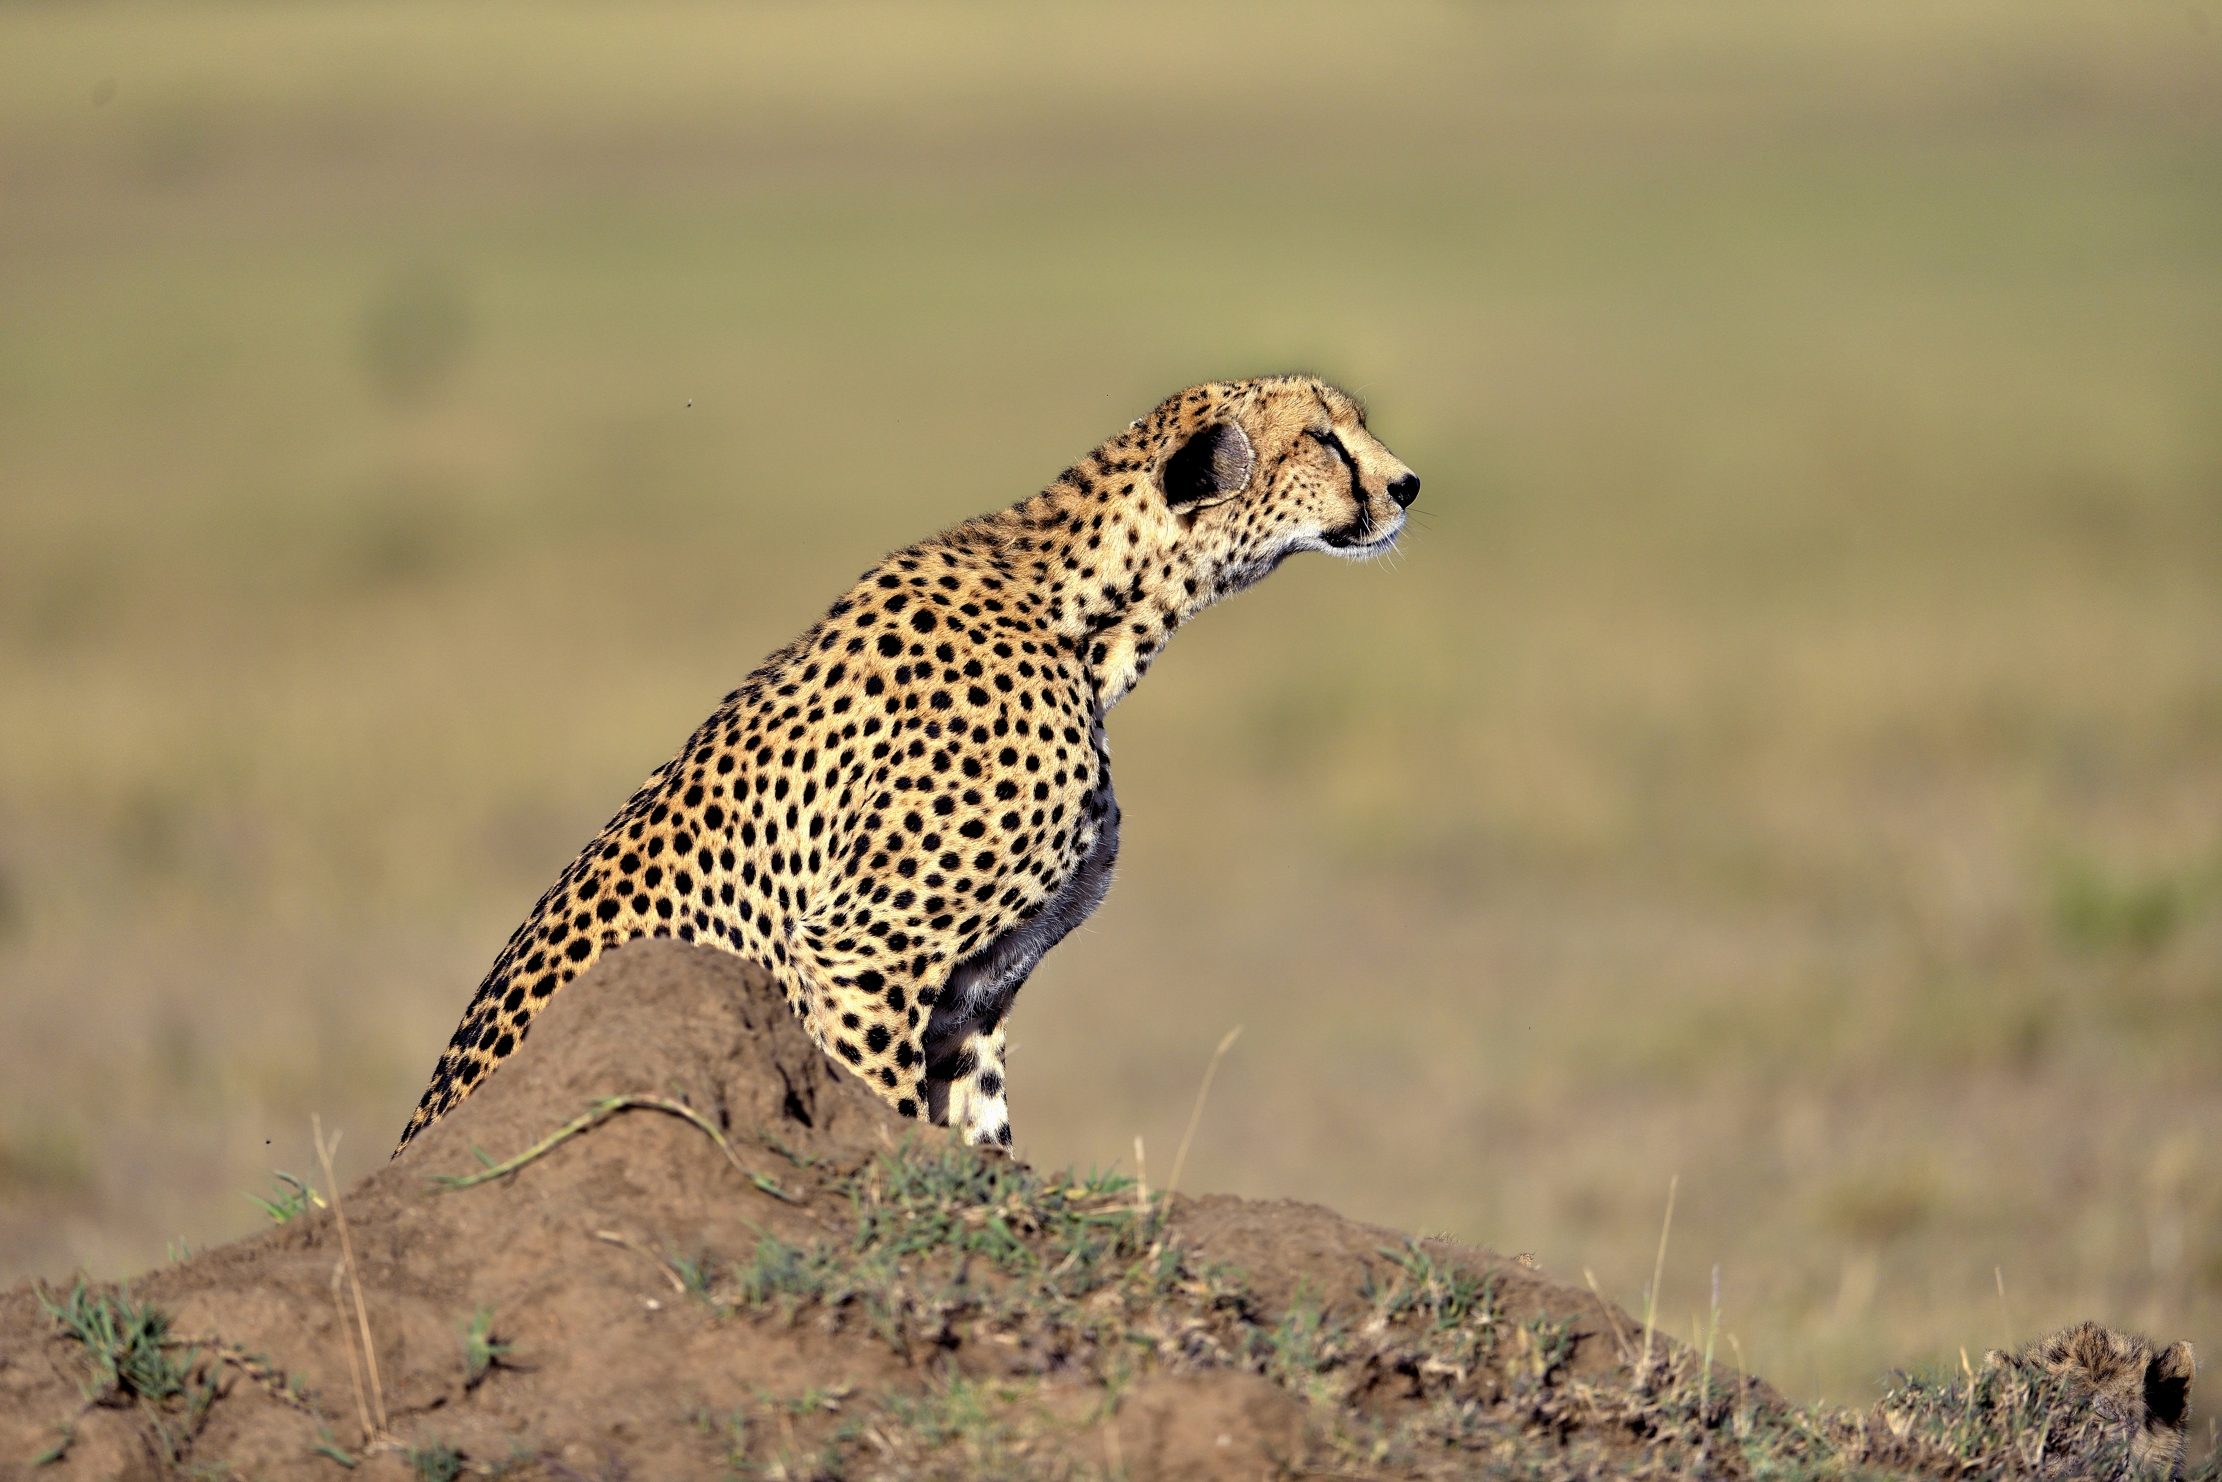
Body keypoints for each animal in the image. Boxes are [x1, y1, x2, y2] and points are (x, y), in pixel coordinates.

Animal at [393, 374, 1419, 1157]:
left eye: (1353, 424)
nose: (1408, 485)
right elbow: (883, 1114)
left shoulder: (974, 991)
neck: (1082, 617)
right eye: (1323, 438)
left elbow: (984, 1139)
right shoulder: (859, 955)